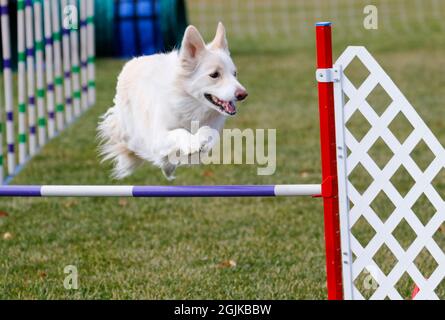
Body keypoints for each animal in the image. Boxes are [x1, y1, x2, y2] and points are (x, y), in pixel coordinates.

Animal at [96, 23, 246, 180]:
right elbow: (179, 132)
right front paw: (192, 142)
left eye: (234, 74)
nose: (243, 94)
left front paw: (199, 141)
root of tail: (134, 60)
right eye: (214, 75)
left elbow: (206, 134)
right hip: (132, 133)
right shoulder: (157, 138)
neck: (191, 105)